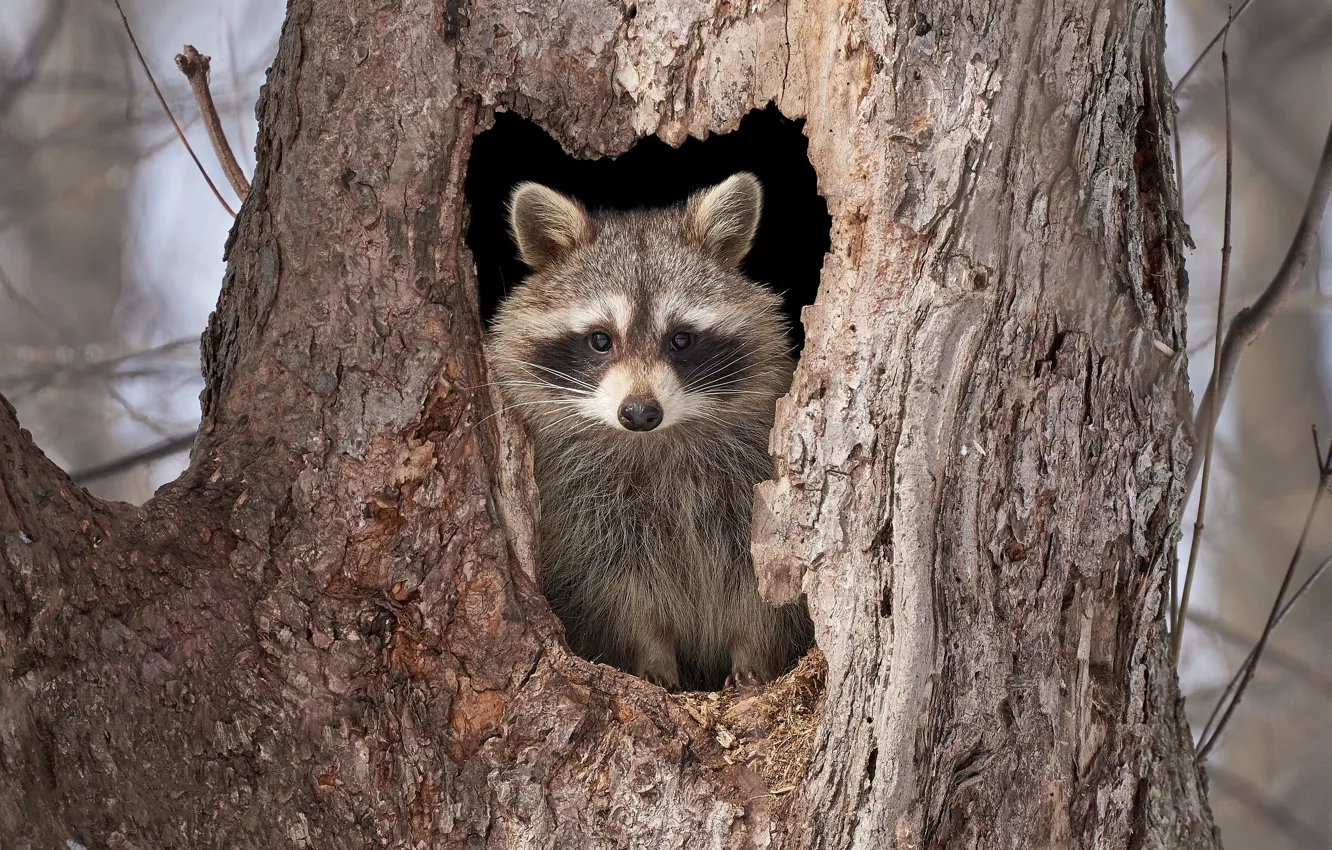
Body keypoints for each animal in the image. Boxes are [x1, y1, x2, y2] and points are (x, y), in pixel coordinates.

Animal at [487, 172, 812, 691]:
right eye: (600, 340)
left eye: (680, 339)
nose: (640, 412)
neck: (651, 443)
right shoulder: (578, 505)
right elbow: (617, 587)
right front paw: (651, 655)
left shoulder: (752, 486)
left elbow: (763, 589)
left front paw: (754, 654)